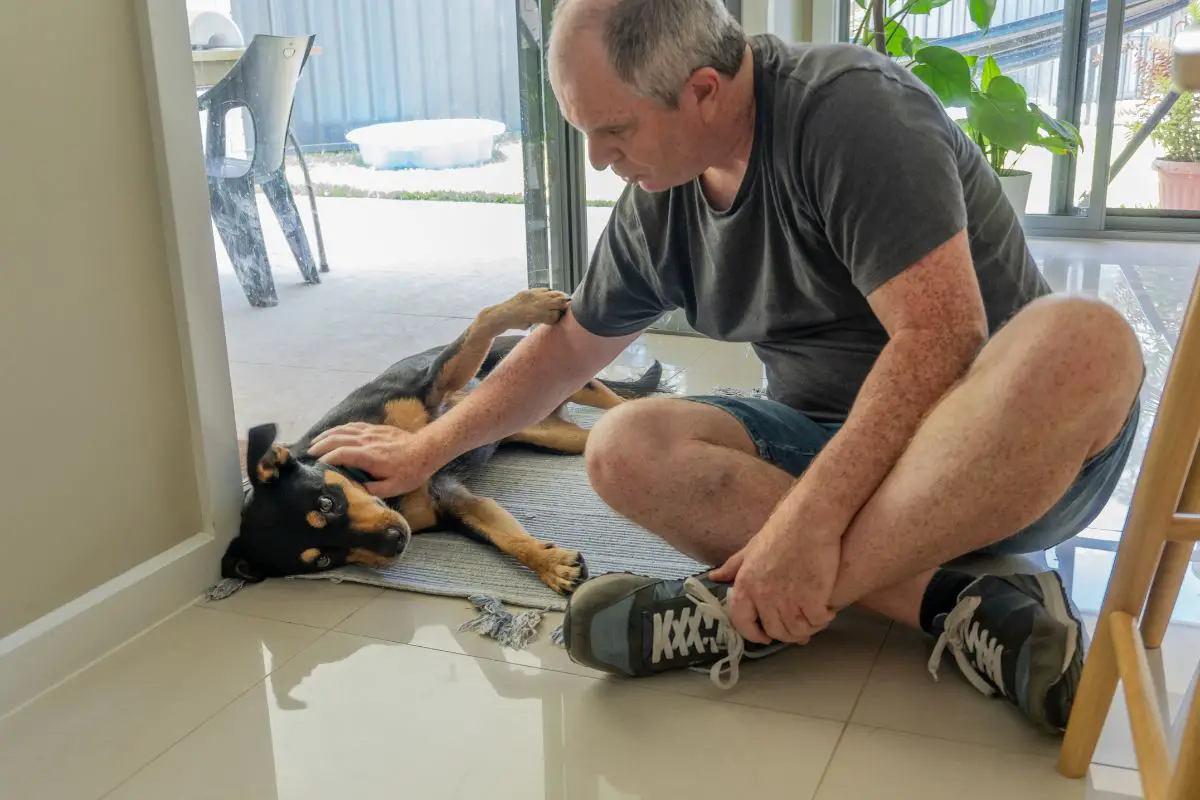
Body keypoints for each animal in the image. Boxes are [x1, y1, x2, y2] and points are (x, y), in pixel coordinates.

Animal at [220, 287, 662, 594]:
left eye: (327, 503)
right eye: (324, 560)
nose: (398, 542)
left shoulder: (432, 387)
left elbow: (480, 321)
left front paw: (530, 303)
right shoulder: (455, 503)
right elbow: (506, 538)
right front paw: (551, 565)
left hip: (573, 380)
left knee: (624, 401)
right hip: (555, 436)